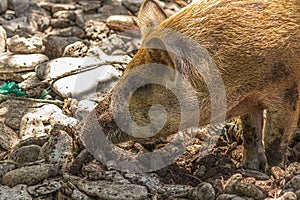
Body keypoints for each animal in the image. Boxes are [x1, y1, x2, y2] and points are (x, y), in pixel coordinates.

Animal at [80, 0, 300, 172]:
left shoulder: (287, 89)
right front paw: (248, 167)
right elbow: (251, 132)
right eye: (124, 71)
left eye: (141, 85)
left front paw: (272, 172)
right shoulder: (251, 101)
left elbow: (273, 141)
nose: (83, 129)